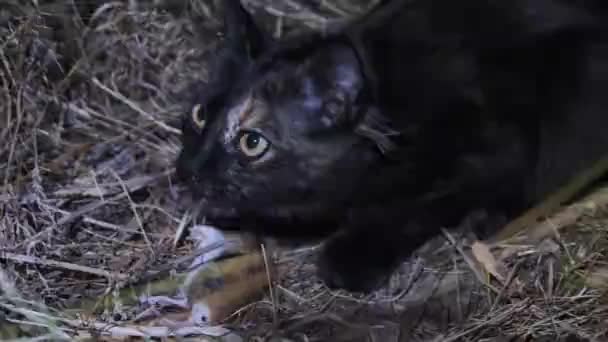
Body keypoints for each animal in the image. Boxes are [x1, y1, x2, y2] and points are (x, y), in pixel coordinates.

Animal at [173, 0, 608, 292]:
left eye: (252, 143)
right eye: (199, 114)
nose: (186, 172)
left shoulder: (497, 144)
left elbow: (421, 205)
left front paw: (353, 254)